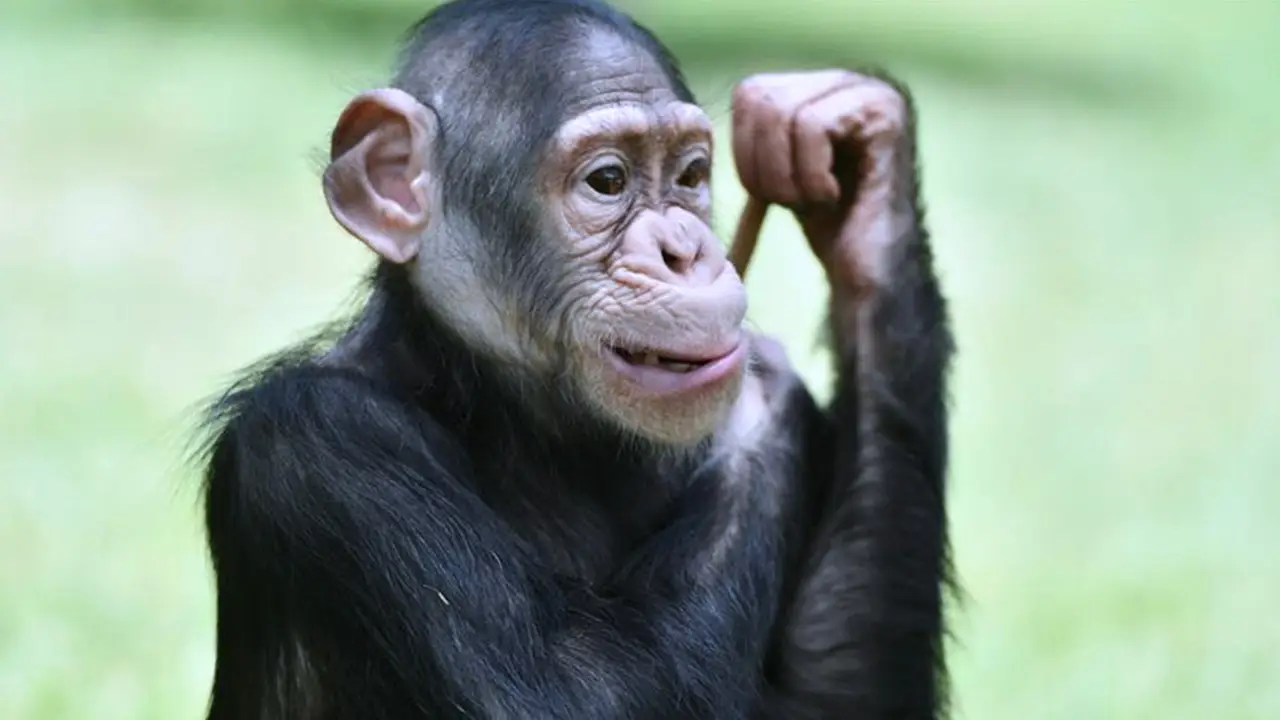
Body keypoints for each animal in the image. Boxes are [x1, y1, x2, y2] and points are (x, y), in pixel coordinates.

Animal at [197, 1, 952, 717]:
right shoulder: (319, 440)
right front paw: (759, 390)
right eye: (608, 180)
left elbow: (833, 698)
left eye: (690, 176)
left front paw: (862, 162)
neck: (508, 415)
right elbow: (568, 692)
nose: (686, 250)